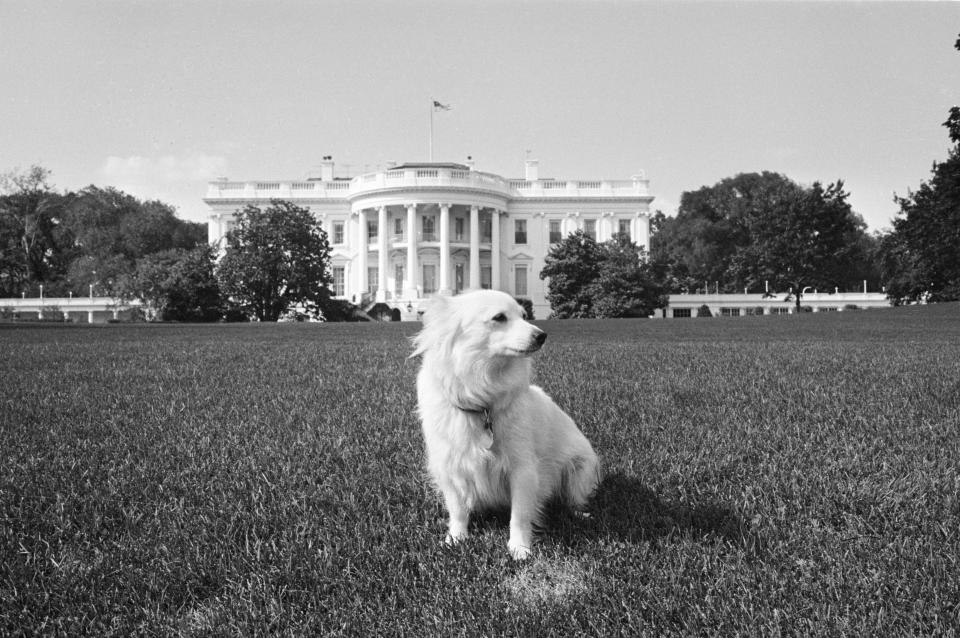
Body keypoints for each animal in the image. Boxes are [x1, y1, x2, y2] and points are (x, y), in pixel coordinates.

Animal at [412, 290, 600, 560]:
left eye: (524, 315)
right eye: (499, 318)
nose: (542, 335)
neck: (482, 399)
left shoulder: (522, 470)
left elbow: (520, 514)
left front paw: (519, 548)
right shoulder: (449, 467)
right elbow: (457, 509)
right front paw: (455, 539)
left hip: (580, 470)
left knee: (573, 499)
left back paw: (581, 514)